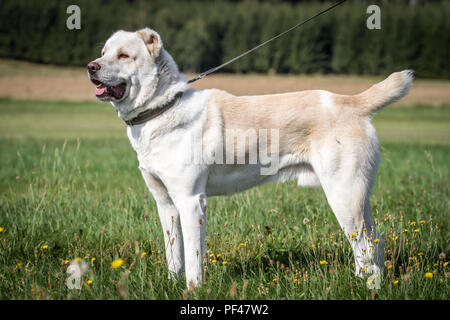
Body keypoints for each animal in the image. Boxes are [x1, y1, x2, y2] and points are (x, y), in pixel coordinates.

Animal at [86, 28, 414, 290]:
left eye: (124, 55)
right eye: (103, 53)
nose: (91, 66)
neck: (163, 107)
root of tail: (351, 102)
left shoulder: (191, 201)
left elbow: (193, 256)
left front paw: (193, 290)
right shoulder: (165, 203)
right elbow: (174, 254)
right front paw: (171, 283)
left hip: (344, 196)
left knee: (364, 246)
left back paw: (368, 287)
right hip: (358, 197)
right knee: (375, 243)